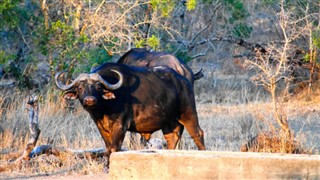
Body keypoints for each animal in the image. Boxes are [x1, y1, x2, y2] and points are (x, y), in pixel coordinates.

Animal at [55, 62, 205, 160]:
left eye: (98, 87)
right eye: (80, 88)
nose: (90, 100)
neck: (104, 110)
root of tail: (184, 80)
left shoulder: (121, 126)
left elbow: (115, 148)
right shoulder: (101, 127)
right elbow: (108, 148)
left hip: (188, 113)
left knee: (198, 133)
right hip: (169, 122)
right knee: (172, 138)